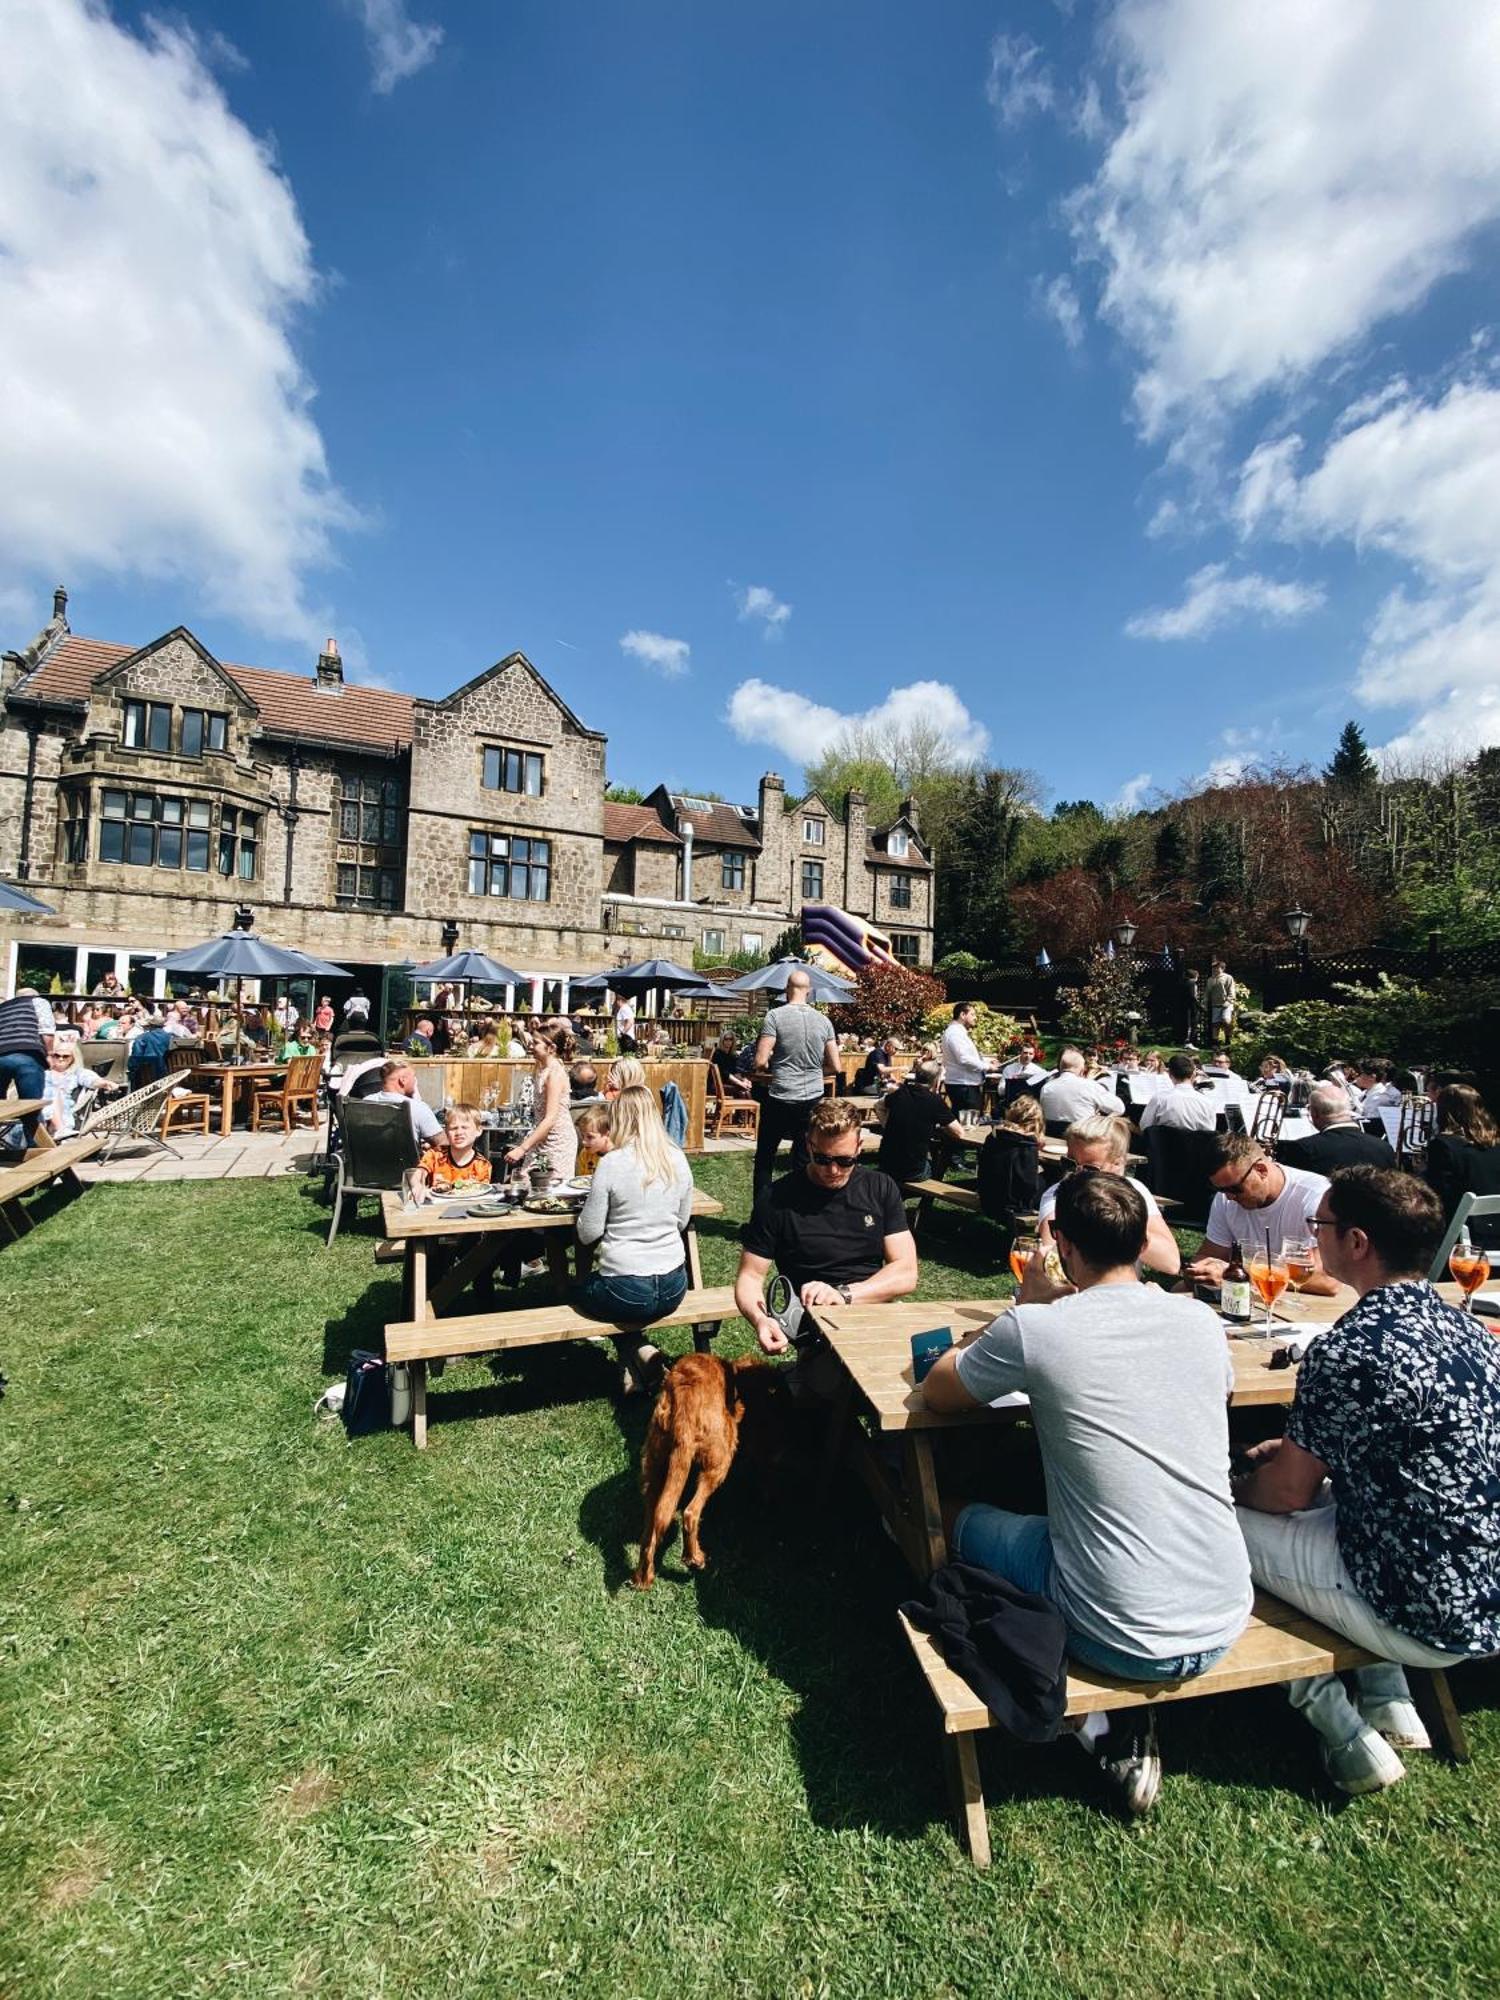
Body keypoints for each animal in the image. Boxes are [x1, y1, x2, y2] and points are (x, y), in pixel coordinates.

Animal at [636, 1352, 788, 1584]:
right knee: (690, 1513)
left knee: (650, 1531)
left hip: (653, 1468)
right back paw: (695, 1558)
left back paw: (643, 1579)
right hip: (719, 1462)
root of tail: (685, 1398)